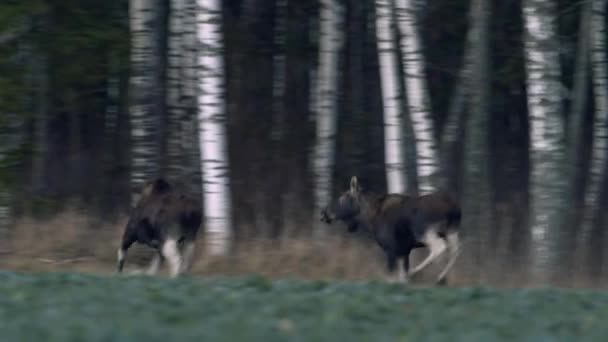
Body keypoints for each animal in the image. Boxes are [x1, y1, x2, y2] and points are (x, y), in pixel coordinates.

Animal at [320, 175, 458, 284]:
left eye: (342, 199)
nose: (324, 213)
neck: (370, 218)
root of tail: (454, 209)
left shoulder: (391, 248)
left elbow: (391, 277)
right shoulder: (404, 251)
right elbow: (401, 276)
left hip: (425, 232)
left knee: (440, 247)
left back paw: (418, 273)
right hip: (452, 231)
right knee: (455, 250)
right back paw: (440, 278)